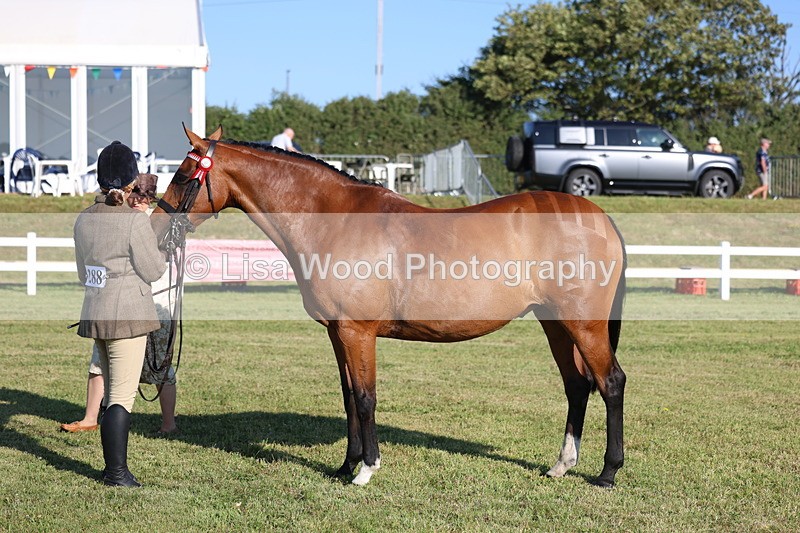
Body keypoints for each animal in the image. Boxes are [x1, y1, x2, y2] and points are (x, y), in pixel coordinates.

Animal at [151, 125, 627, 487]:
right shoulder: (338, 332)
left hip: (583, 324)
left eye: (183, 175)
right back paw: (561, 465)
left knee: (611, 382)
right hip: (555, 324)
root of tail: (600, 217)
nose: (156, 229)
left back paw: (608, 473)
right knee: (577, 386)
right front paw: (345, 465)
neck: (336, 220)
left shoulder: (358, 331)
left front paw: (366, 470)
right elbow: (347, 397)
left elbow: (365, 398)